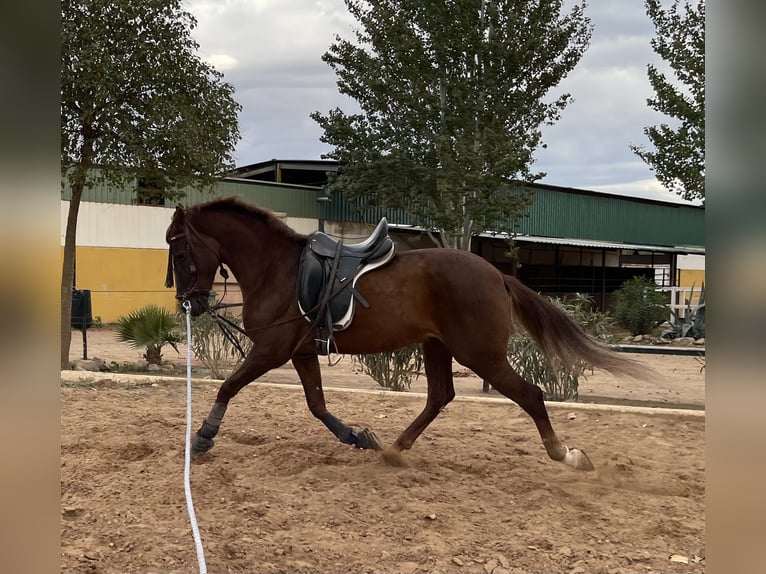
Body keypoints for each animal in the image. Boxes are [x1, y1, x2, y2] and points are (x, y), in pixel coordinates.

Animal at [166, 198, 640, 472]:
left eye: (181, 252)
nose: (190, 304)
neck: (277, 270)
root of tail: (496, 274)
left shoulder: (271, 349)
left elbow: (228, 386)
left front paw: (203, 437)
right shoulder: (300, 352)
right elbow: (317, 406)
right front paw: (358, 437)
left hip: (479, 354)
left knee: (530, 394)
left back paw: (566, 455)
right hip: (438, 347)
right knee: (440, 397)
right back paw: (395, 448)